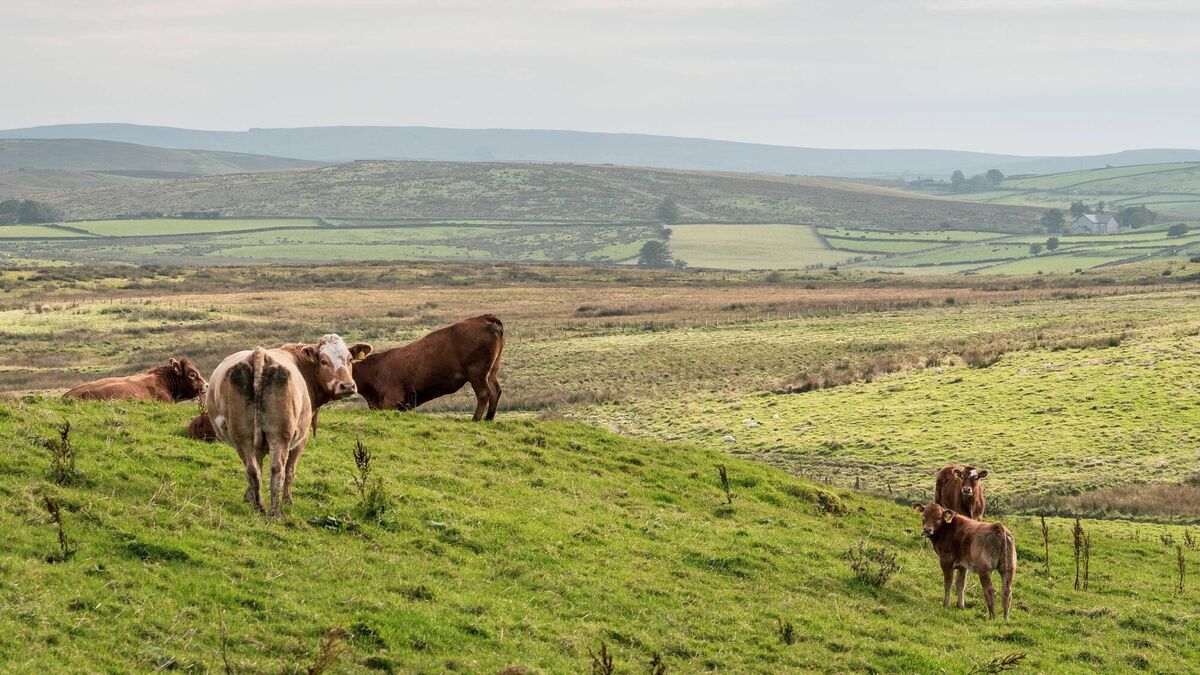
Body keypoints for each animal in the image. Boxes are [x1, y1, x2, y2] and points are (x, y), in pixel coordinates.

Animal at [206, 335, 372, 516]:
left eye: (350, 360)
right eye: (323, 361)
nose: (347, 386)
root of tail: (259, 354)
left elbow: (259, 465)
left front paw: (248, 497)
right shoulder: (301, 439)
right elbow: (290, 470)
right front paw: (288, 500)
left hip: (243, 436)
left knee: (252, 469)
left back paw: (260, 506)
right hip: (280, 435)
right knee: (278, 469)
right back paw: (275, 511)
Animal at [353, 314, 504, 421]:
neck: (376, 369)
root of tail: (483, 318)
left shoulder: (391, 401)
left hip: (477, 373)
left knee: (484, 393)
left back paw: (475, 419)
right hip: (492, 371)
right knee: (495, 391)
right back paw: (488, 419)